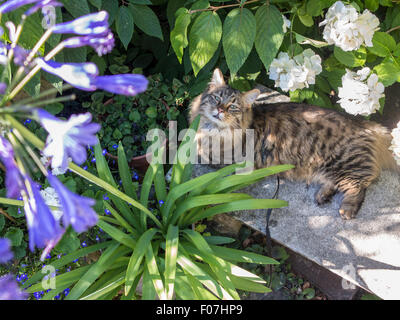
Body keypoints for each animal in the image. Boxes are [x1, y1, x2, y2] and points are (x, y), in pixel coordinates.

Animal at [190, 69, 396, 220]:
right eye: (217, 98)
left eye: (232, 106)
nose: (219, 110)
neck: (213, 129)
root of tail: (364, 124)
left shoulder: (228, 161)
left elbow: (199, 154)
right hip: (329, 168)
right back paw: (322, 196)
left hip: (343, 164)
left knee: (360, 186)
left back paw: (347, 210)